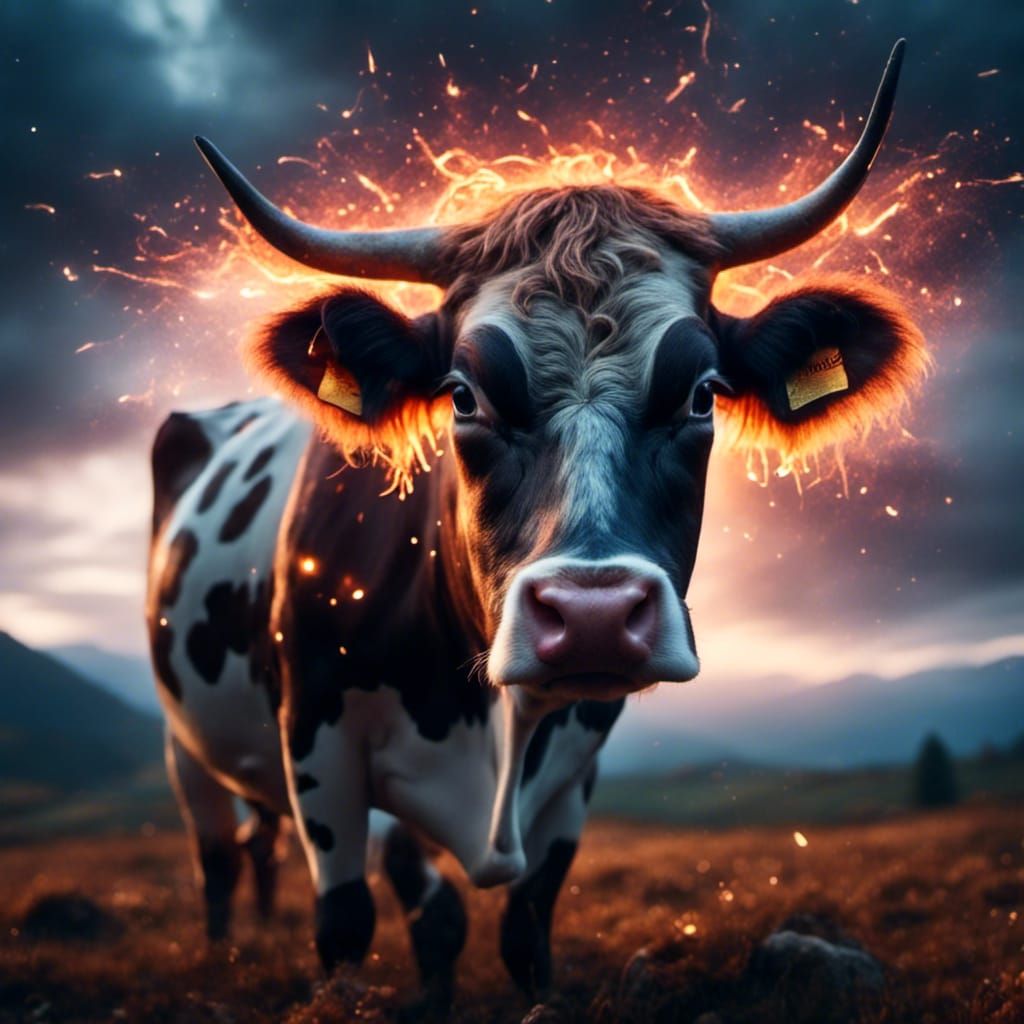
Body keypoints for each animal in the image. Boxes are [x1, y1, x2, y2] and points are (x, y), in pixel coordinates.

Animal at [147, 41, 926, 1015]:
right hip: (187, 747)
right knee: (219, 854)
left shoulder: (574, 772)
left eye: (703, 394)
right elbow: (359, 925)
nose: (592, 617)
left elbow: (520, 932)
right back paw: (225, 948)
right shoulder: (320, 749)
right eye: (462, 396)